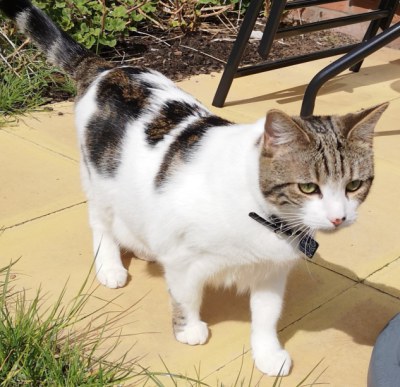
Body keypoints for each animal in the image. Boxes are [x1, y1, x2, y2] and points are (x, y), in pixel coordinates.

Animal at [0, 0, 388, 376]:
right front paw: (189, 329)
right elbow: (185, 296)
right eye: (308, 187)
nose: (338, 218)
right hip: (99, 179)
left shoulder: (271, 272)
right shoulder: (184, 260)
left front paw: (267, 353)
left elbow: (267, 315)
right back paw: (110, 265)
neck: (261, 215)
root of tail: (109, 69)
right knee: (101, 223)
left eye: (355, 185)